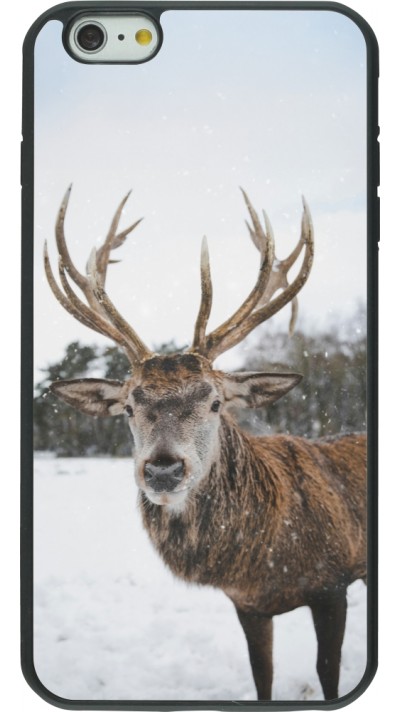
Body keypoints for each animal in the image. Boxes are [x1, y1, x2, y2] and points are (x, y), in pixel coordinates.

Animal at [44, 186, 366, 701]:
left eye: (215, 402)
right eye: (128, 407)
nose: (163, 469)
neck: (266, 560)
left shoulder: (334, 583)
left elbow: (328, 673)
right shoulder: (247, 605)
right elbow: (262, 676)